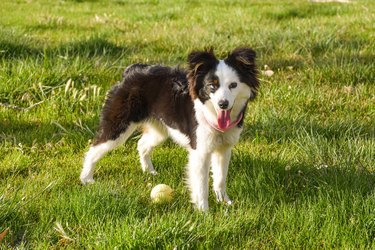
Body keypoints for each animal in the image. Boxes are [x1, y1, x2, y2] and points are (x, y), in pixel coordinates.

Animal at [81, 47, 260, 211]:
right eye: (212, 86)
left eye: (233, 85)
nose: (223, 104)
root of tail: (131, 71)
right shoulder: (200, 151)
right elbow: (201, 184)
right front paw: (204, 212)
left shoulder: (224, 148)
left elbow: (220, 178)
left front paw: (225, 202)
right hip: (119, 125)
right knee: (95, 147)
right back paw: (86, 179)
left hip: (159, 129)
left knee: (142, 144)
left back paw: (149, 171)